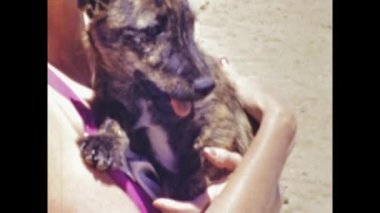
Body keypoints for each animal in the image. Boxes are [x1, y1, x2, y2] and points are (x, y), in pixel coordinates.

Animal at [77, 0, 255, 200]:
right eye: (154, 29)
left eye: (190, 26)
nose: (208, 86)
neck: (146, 100)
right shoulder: (105, 101)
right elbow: (113, 116)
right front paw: (105, 141)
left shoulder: (221, 117)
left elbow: (205, 148)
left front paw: (186, 182)